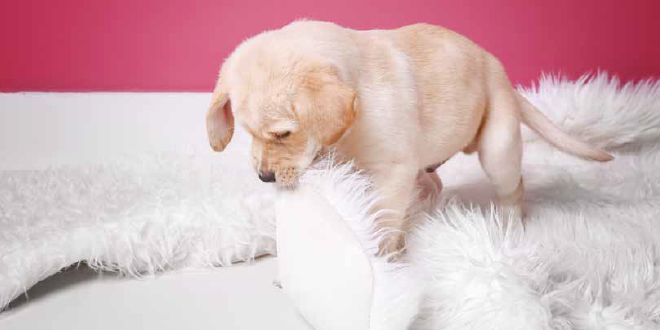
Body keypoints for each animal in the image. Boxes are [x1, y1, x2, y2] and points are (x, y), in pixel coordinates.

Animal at [208, 19, 612, 254]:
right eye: (246, 132)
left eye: (282, 134)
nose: (265, 177)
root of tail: (501, 74)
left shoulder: (392, 172)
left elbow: (381, 218)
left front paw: (379, 257)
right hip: (426, 165)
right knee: (433, 185)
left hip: (498, 147)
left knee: (513, 189)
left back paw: (510, 227)